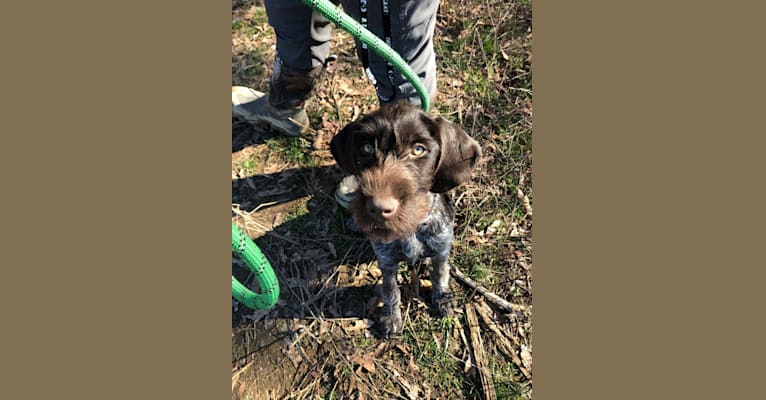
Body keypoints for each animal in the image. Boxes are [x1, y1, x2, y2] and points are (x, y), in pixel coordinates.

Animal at [330, 101, 480, 336]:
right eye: (366, 148)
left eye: (418, 149)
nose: (378, 208)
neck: (411, 227)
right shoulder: (386, 261)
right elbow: (390, 290)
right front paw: (391, 316)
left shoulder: (441, 250)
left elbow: (440, 275)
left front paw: (442, 298)